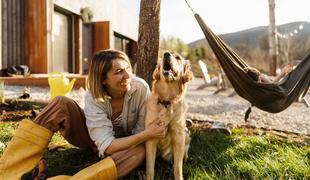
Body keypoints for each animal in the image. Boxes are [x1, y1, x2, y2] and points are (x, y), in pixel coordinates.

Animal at [146, 51, 194, 179]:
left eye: (178, 57)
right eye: (163, 55)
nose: (166, 54)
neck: (166, 101)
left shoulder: (178, 136)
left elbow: (177, 167)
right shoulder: (151, 137)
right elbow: (150, 167)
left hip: (186, 134)